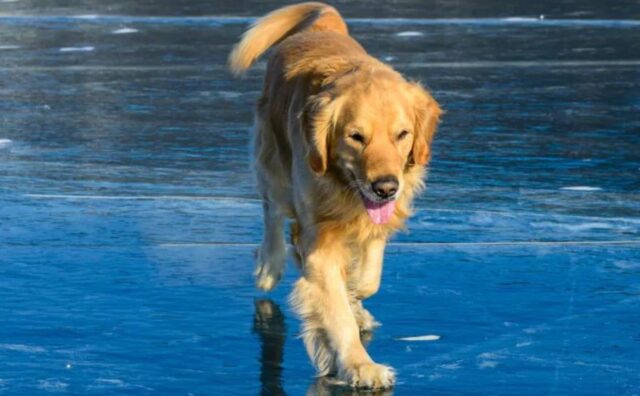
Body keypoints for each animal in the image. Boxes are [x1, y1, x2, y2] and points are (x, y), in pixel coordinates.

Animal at [228, 1, 442, 388]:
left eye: (402, 134)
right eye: (356, 137)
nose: (385, 187)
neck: (344, 187)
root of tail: (323, 25)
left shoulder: (378, 217)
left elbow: (367, 276)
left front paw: (355, 296)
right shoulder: (320, 236)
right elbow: (336, 308)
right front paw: (359, 365)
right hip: (272, 160)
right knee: (271, 211)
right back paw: (270, 263)